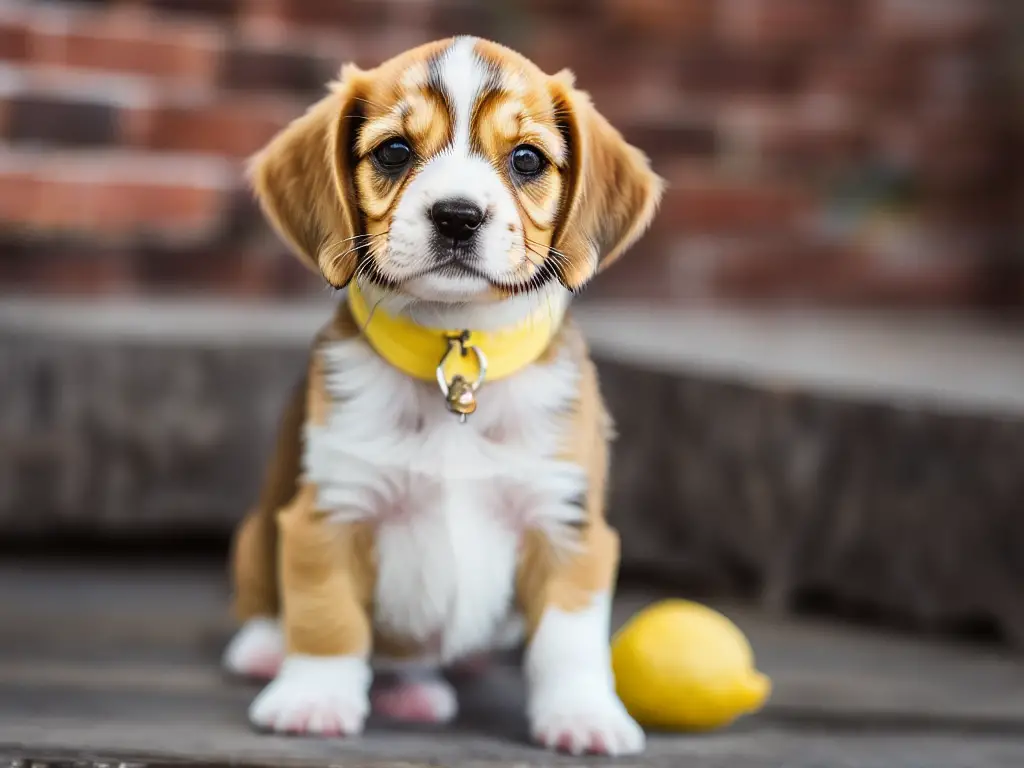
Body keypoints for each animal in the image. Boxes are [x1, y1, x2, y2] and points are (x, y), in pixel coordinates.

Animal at [222, 36, 663, 757]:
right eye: (395, 151)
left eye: (527, 159)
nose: (457, 216)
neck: (453, 352)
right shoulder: (330, 512)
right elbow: (327, 618)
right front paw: (314, 698)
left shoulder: (567, 524)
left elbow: (569, 640)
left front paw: (583, 714)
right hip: (260, 528)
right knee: (272, 600)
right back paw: (265, 649)